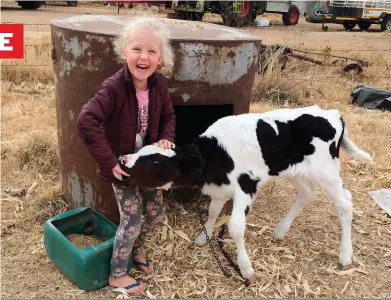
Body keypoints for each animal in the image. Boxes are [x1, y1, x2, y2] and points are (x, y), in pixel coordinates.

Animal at [115, 106, 374, 282]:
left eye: (156, 162)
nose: (121, 159)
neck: (214, 156)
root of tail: (332, 113)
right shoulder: (220, 190)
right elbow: (212, 212)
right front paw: (203, 237)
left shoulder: (246, 186)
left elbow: (236, 226)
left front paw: (246, 268)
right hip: (293, 169)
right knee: (306, 193)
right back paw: (280, 231)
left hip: (326, 171)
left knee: (346, 204)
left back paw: (345, 256)